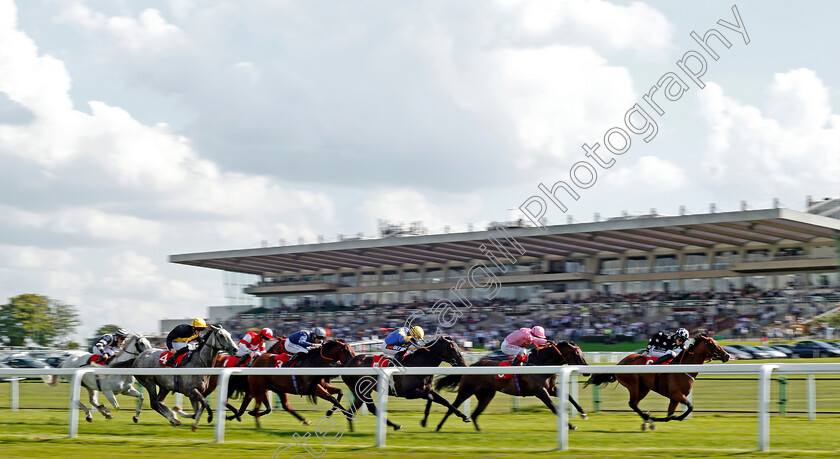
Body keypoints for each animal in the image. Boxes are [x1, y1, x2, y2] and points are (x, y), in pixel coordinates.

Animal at [340, 336, 472, 434]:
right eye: (453, 349)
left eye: (459, 348)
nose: (465, 365)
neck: (419, 364)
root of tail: (348, 363)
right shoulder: (408, 393)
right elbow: (430, 398)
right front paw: (424, 421)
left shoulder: (428, 389)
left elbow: (445, 401)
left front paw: (464, 416)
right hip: (364, 390)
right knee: (372, 408)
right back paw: (395, 425)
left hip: (360, 390)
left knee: (353, 408)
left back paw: (352, 428)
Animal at [430, 340, 588, 434]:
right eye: (577, 353)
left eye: (582, 352)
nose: (587, 371)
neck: (540, 363)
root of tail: (471, 367)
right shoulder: (540, 391)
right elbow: (554, 408)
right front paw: (570, 425)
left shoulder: (551, 389)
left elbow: (569, 396)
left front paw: (583, 413)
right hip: (466, 390)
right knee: (452, 407)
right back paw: (439, 427)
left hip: (487, 395)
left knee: (475, 414)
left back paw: (479, 431)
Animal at [584, 334, 728, 432]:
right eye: (713, 344)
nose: (727, 356)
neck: (683, 366)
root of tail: (620, 363)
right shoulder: (676, 394)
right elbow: (689, 407)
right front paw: (664, 418)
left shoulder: (675, 398)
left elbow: (671, 414)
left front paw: (664, 418)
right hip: (633, 384)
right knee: (632, 403)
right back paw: (649, 420)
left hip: (644, 388)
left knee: (635, 404)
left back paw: (647, 420)